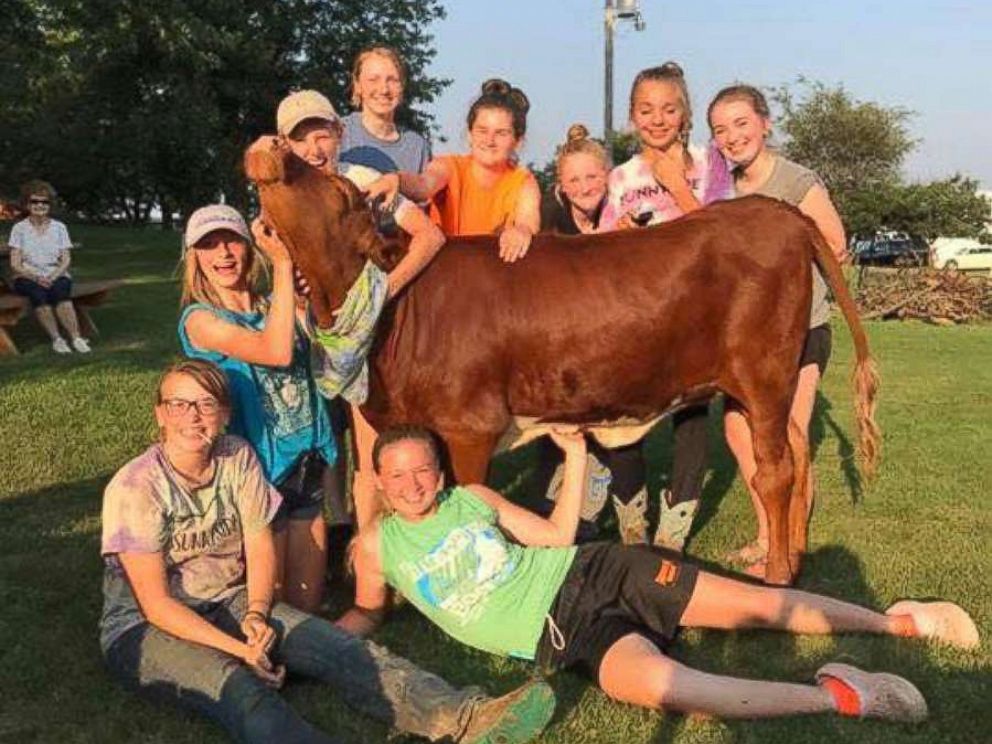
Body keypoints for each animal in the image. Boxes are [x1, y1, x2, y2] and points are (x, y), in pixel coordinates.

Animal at [244, 135, 880, 586]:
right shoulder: (388, 418)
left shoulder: (469, 425)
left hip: (763, 373)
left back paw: (776, 574)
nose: (271, 142)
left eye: (341, 191)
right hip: (767, 382)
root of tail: (775, 211)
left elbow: (469, 495)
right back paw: (794, 555)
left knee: (774, 469)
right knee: (795, 450)